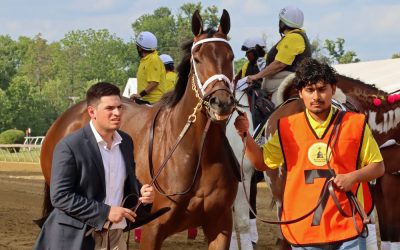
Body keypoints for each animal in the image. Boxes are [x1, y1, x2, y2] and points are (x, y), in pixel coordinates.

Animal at [38, 9, 241, 248]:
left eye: (230, 56)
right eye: (198, 59)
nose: (221, 102)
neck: (198, 153)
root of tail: (64, 119)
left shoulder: (220, 225)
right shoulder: (153, 230)